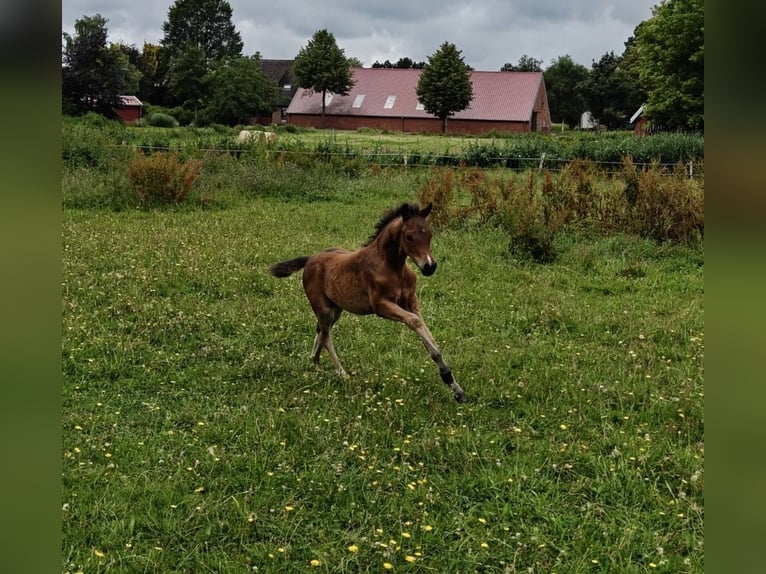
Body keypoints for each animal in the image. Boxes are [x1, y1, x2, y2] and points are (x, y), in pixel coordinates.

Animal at [268, 202, 466, 402]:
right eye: (409, 236)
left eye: (430, 234)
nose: (429, 267)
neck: (393, 268)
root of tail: (310, 259)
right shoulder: (381, 306)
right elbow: (415, 322)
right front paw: (446, 375)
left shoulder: (412, 303)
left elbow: (427, 335)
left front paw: (455, 387)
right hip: (323, 308)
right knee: (325, 334)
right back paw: (339, 372)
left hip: (336, 308)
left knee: (321, 331)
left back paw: (315, 363)